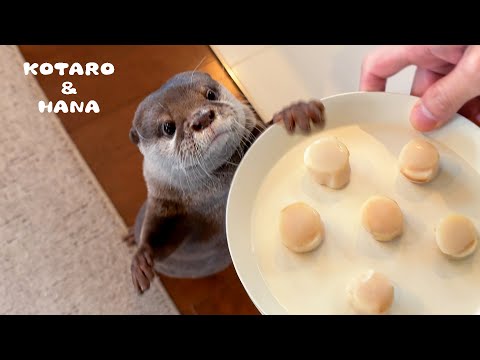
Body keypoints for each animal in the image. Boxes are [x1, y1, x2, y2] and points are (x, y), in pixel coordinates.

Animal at [125, 71, 324, 296]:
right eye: (168, 127)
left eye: (210, 94)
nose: (202, 117)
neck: (215, 193)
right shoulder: (163, 201)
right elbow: (157, 238)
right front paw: (140, 262)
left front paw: (295, 112)